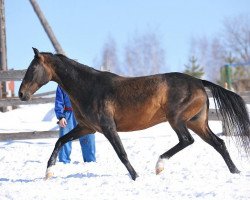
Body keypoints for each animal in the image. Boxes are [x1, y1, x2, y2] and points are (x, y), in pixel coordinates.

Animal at [19, 47, 250, 180]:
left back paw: (159, 165)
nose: (21, 94)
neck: (89, 87)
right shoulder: (87, 128)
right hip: (197, 122)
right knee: (218, 143)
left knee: (187, 140)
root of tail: (199, 82)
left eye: (32, 69)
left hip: (177, 120)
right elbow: (60, 141)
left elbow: (122, 153)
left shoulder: (107, 127)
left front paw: (136, 176)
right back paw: (235, 171)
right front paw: (48, 172)